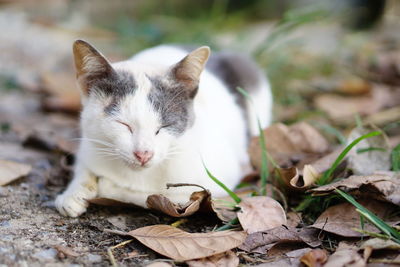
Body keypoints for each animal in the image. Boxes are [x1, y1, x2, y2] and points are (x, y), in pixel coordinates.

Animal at [54, 40, 272, 219]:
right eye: (123, 124)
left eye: (164, 126)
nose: (143, 154)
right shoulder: (90, 144)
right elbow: (84, 167)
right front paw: (73, 194)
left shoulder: (218, 183)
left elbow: (156, 196)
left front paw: (107, 186)